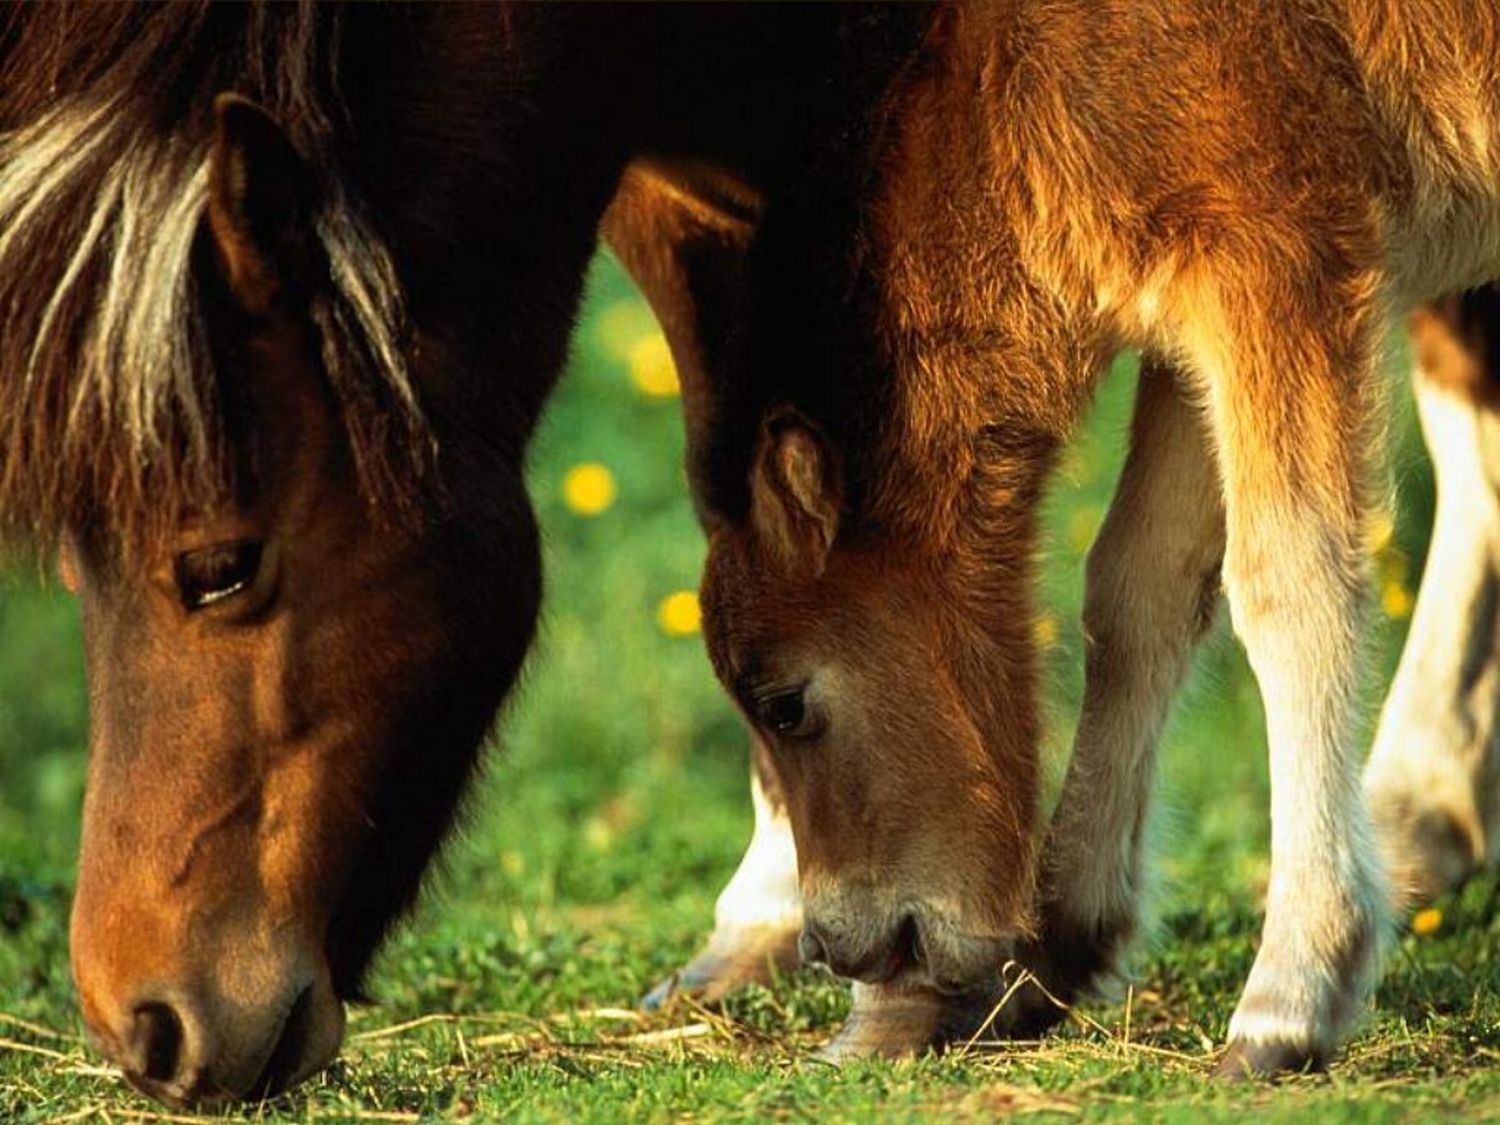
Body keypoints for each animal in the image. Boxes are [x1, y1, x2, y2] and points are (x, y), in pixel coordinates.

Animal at [687, 0, 1500, 1080]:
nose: (834, 945)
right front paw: (1054, 948)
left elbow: (1290, 583)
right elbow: (1141, 584)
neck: (1006, 67)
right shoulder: (1193, 297)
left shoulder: (1279, 250)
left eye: (786, 703)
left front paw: (1291, 993)